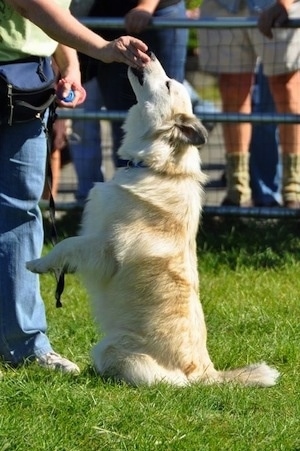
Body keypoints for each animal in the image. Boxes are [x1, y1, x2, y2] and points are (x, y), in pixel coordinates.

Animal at [27, 52, 280, 384]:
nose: (149, 53)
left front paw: (37, 263)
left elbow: (65, 245)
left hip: (111, 348)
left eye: (169, 83)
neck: (156, 166)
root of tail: (206, 374)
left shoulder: (103, 248)